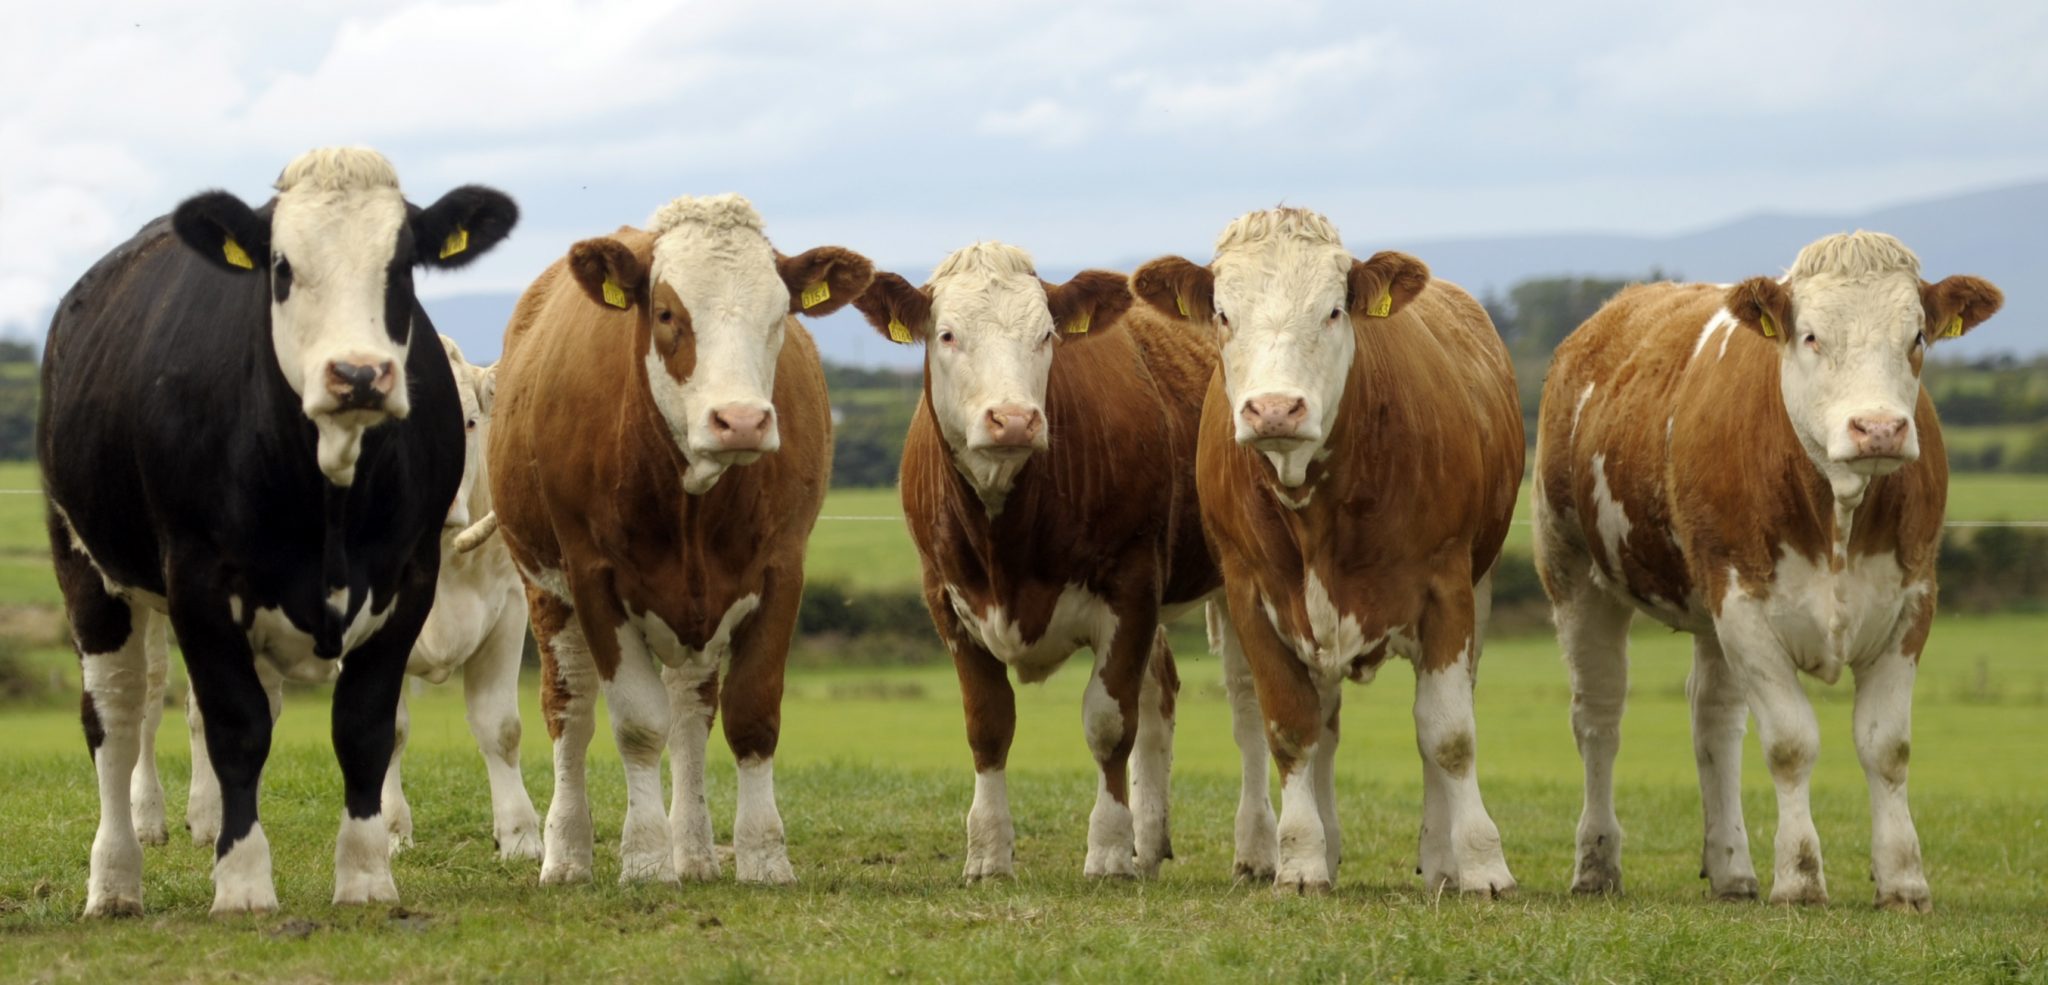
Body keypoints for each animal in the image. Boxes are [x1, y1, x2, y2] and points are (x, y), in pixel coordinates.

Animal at [163, 337, 540, 861]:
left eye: (467, 421)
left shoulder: (508, 609)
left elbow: (501, 727)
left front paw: (520, 837)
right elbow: (388, 729)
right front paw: (391, 830)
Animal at [488, 194, 871, 885]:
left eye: (780, 315)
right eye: (667, 313)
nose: (741, 420)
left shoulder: (781, 571)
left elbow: (751, 713)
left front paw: (763, 855)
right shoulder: (592, 576)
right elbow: (637, 725)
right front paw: (643, 858)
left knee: (691, 713)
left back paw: (693, 850)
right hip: (546, 592)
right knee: (571, 710)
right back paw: (567, 853)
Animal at [851, 242, 1234, 881]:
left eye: (1046, 335)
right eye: (947, 335)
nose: (1013, 418)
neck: (1005, 536)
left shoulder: (1132, 585)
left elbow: (1108, 724)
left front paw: (1108, 851)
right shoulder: (947, 599)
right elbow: (988, 725)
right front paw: (988, 854)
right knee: (1161, 689)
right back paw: (1150, 843)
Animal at [1132, 208, 1524, 895]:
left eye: (1334, 310)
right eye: (1223, 313)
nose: (1273, 408)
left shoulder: (1447, 590)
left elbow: (1448, 735)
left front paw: (1480, 862)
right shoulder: (1253, 596)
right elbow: (1293, 729)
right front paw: (1301, 859)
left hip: (1478, 585)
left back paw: (1440, 857)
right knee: (1324, 723)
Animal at [1533, 231, 2001, 911]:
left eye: (1916, 336)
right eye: (1810, 336)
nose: (1879, 428)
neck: (1838, 513)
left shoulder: (1913, 601)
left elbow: (1886, 746)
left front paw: (1903, 879)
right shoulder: (1742, 602)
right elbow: (1789, 743)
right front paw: (1800, 876)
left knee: (1714, 721)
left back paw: (1730, 868)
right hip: (1573, 571)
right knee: (1598, 716)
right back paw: (1596, 864)